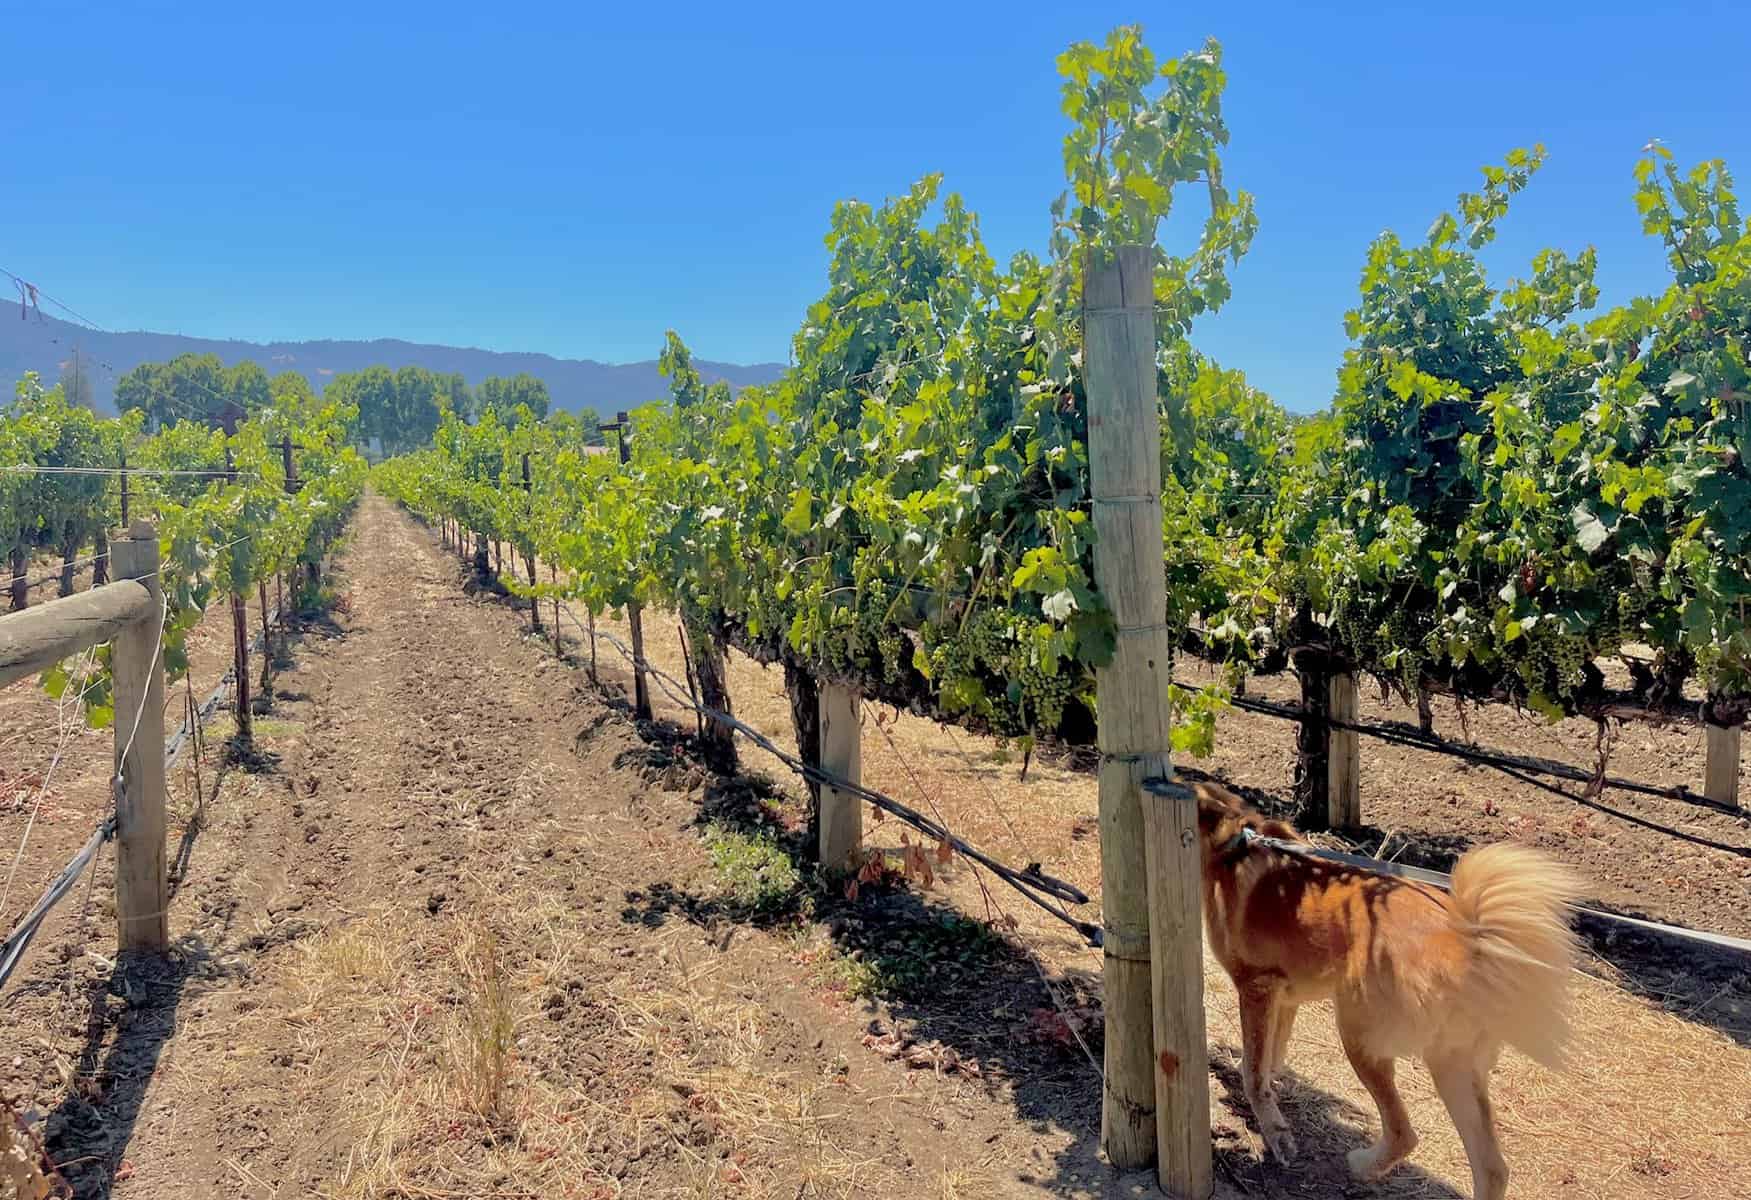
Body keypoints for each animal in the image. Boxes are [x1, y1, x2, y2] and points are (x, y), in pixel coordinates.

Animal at [1197, 781, 1582, 1191]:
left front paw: (1275, 1132)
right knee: (1492, 1169)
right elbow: (1271, 1057)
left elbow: (1256, 1074)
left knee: (1403, 1133)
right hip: (1453, 1065)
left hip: (1359, 1037)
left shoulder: (1255, 987)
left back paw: (1363, 1166)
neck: (1233, 841)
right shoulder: (1283, 999)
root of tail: (1462, 944)